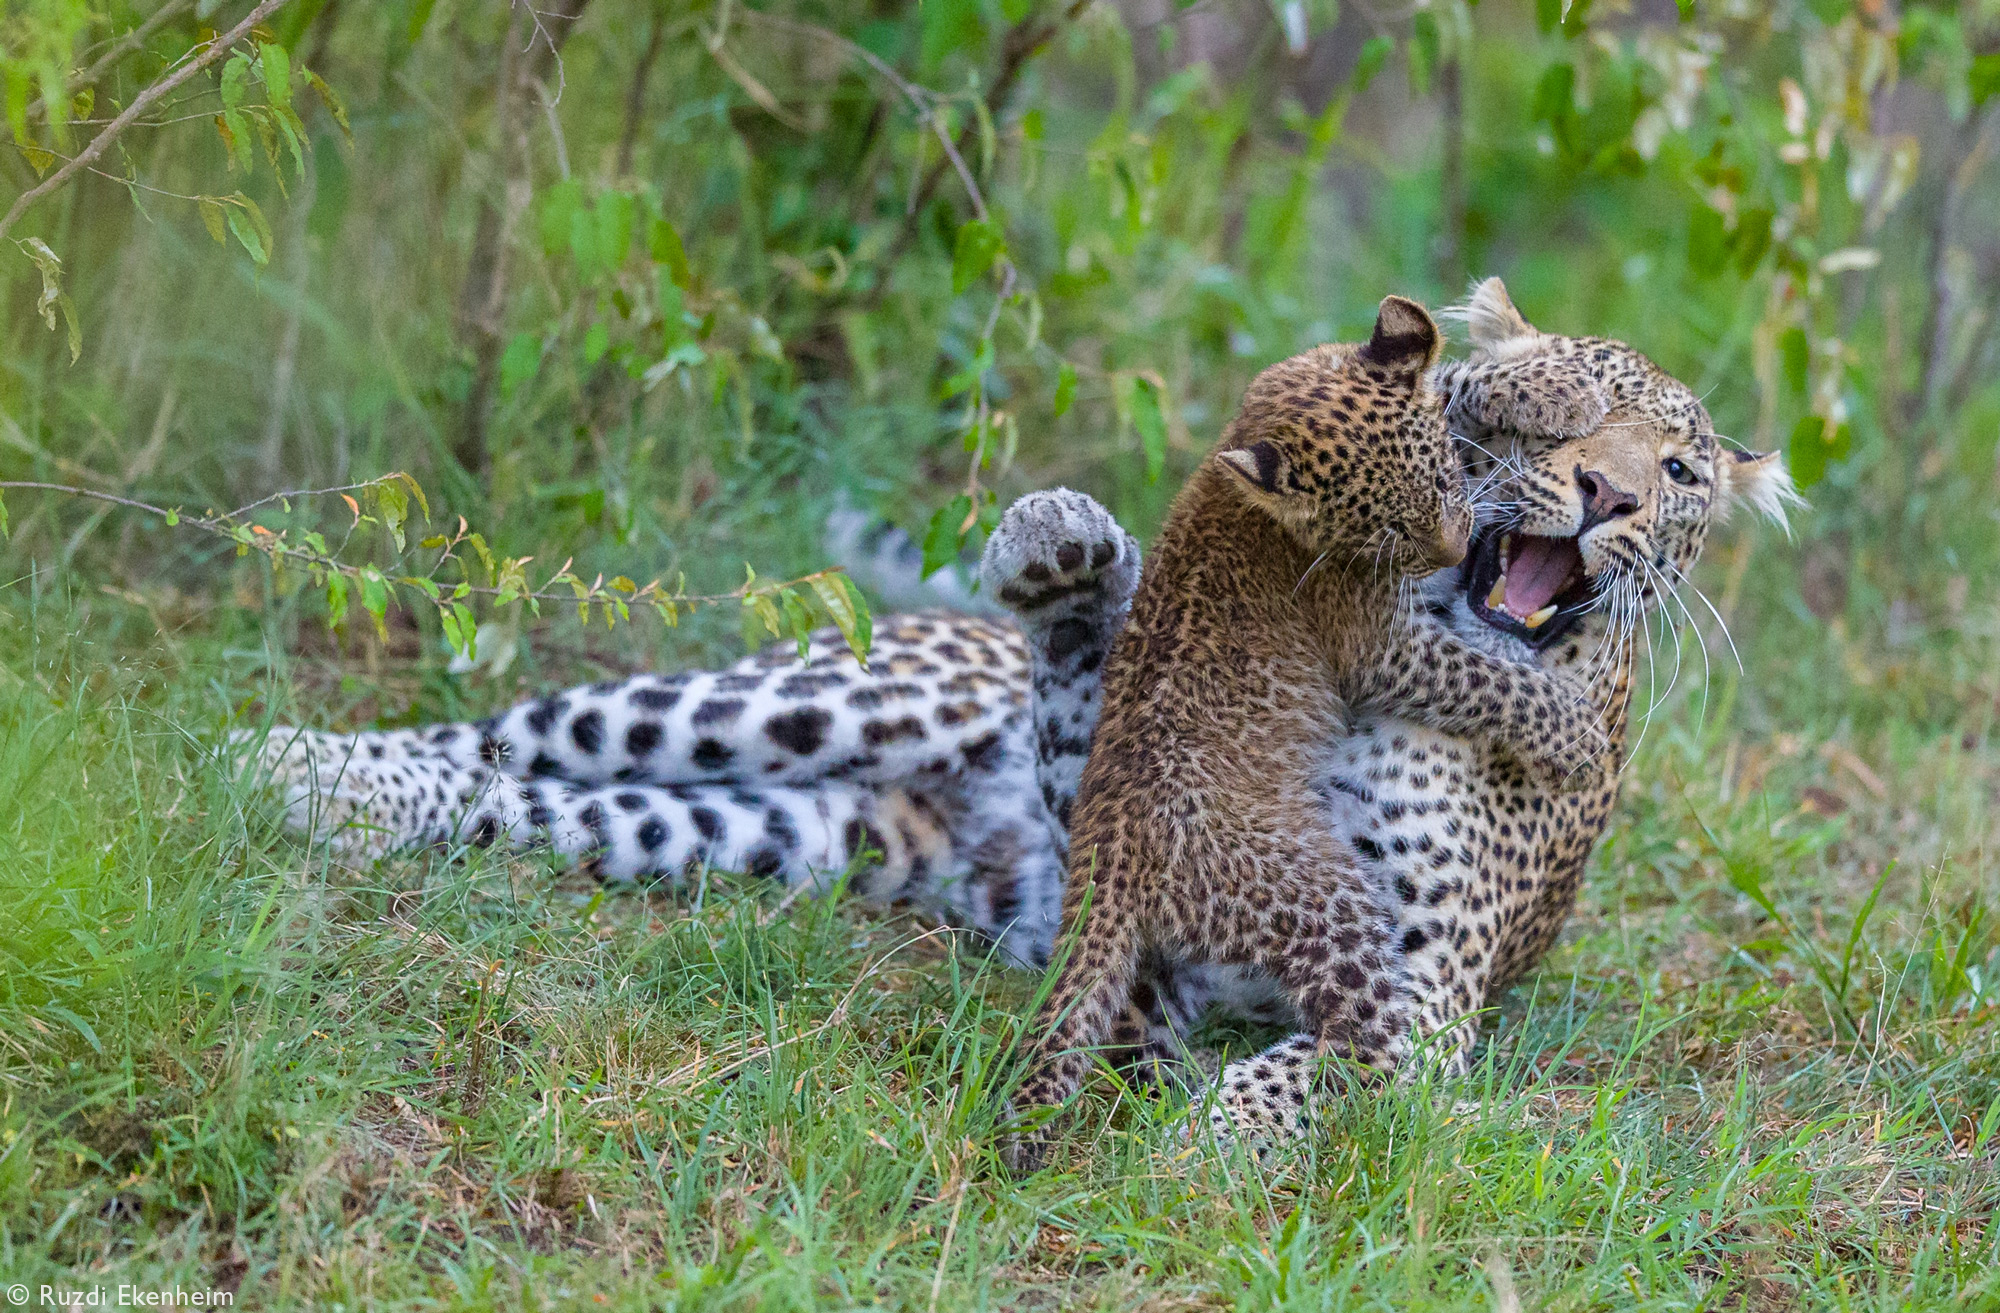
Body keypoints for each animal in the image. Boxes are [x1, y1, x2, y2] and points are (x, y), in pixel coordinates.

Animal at [250, 284, 1800, 1128]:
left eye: (1677, 473)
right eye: (1559, 404)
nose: (1602, 494)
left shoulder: (1420, 998)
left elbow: (1291, 1073)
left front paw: (1208, 1148)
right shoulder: (1140, 830)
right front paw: (1077, 562)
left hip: (807, 830)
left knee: (549, 797)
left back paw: (316, 788)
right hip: (825, 691)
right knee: (509, 733)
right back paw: (299, 760)